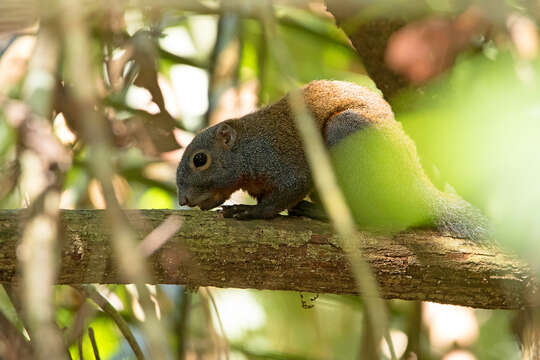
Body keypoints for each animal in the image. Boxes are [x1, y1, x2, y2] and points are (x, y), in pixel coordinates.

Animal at [175, 80, 488, 240]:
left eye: (199, 159)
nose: (183, 200)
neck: (246, 147)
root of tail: (414, 189)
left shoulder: (278, 159)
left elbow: (289, 189)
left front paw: (251, 212)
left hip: (348, 133)